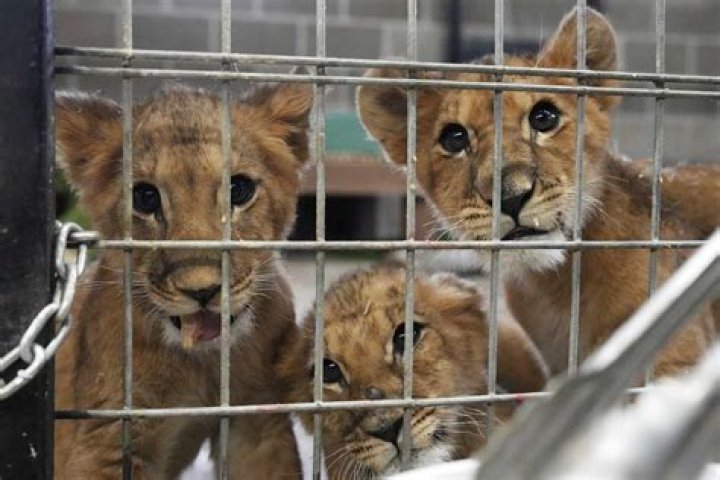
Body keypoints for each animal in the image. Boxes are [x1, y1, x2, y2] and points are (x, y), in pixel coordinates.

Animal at [54, 77, 313, 479]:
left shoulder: (256, 419)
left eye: (239, 190)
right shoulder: (104, 441)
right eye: (145, 197)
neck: (202, 363)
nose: (202, 291)